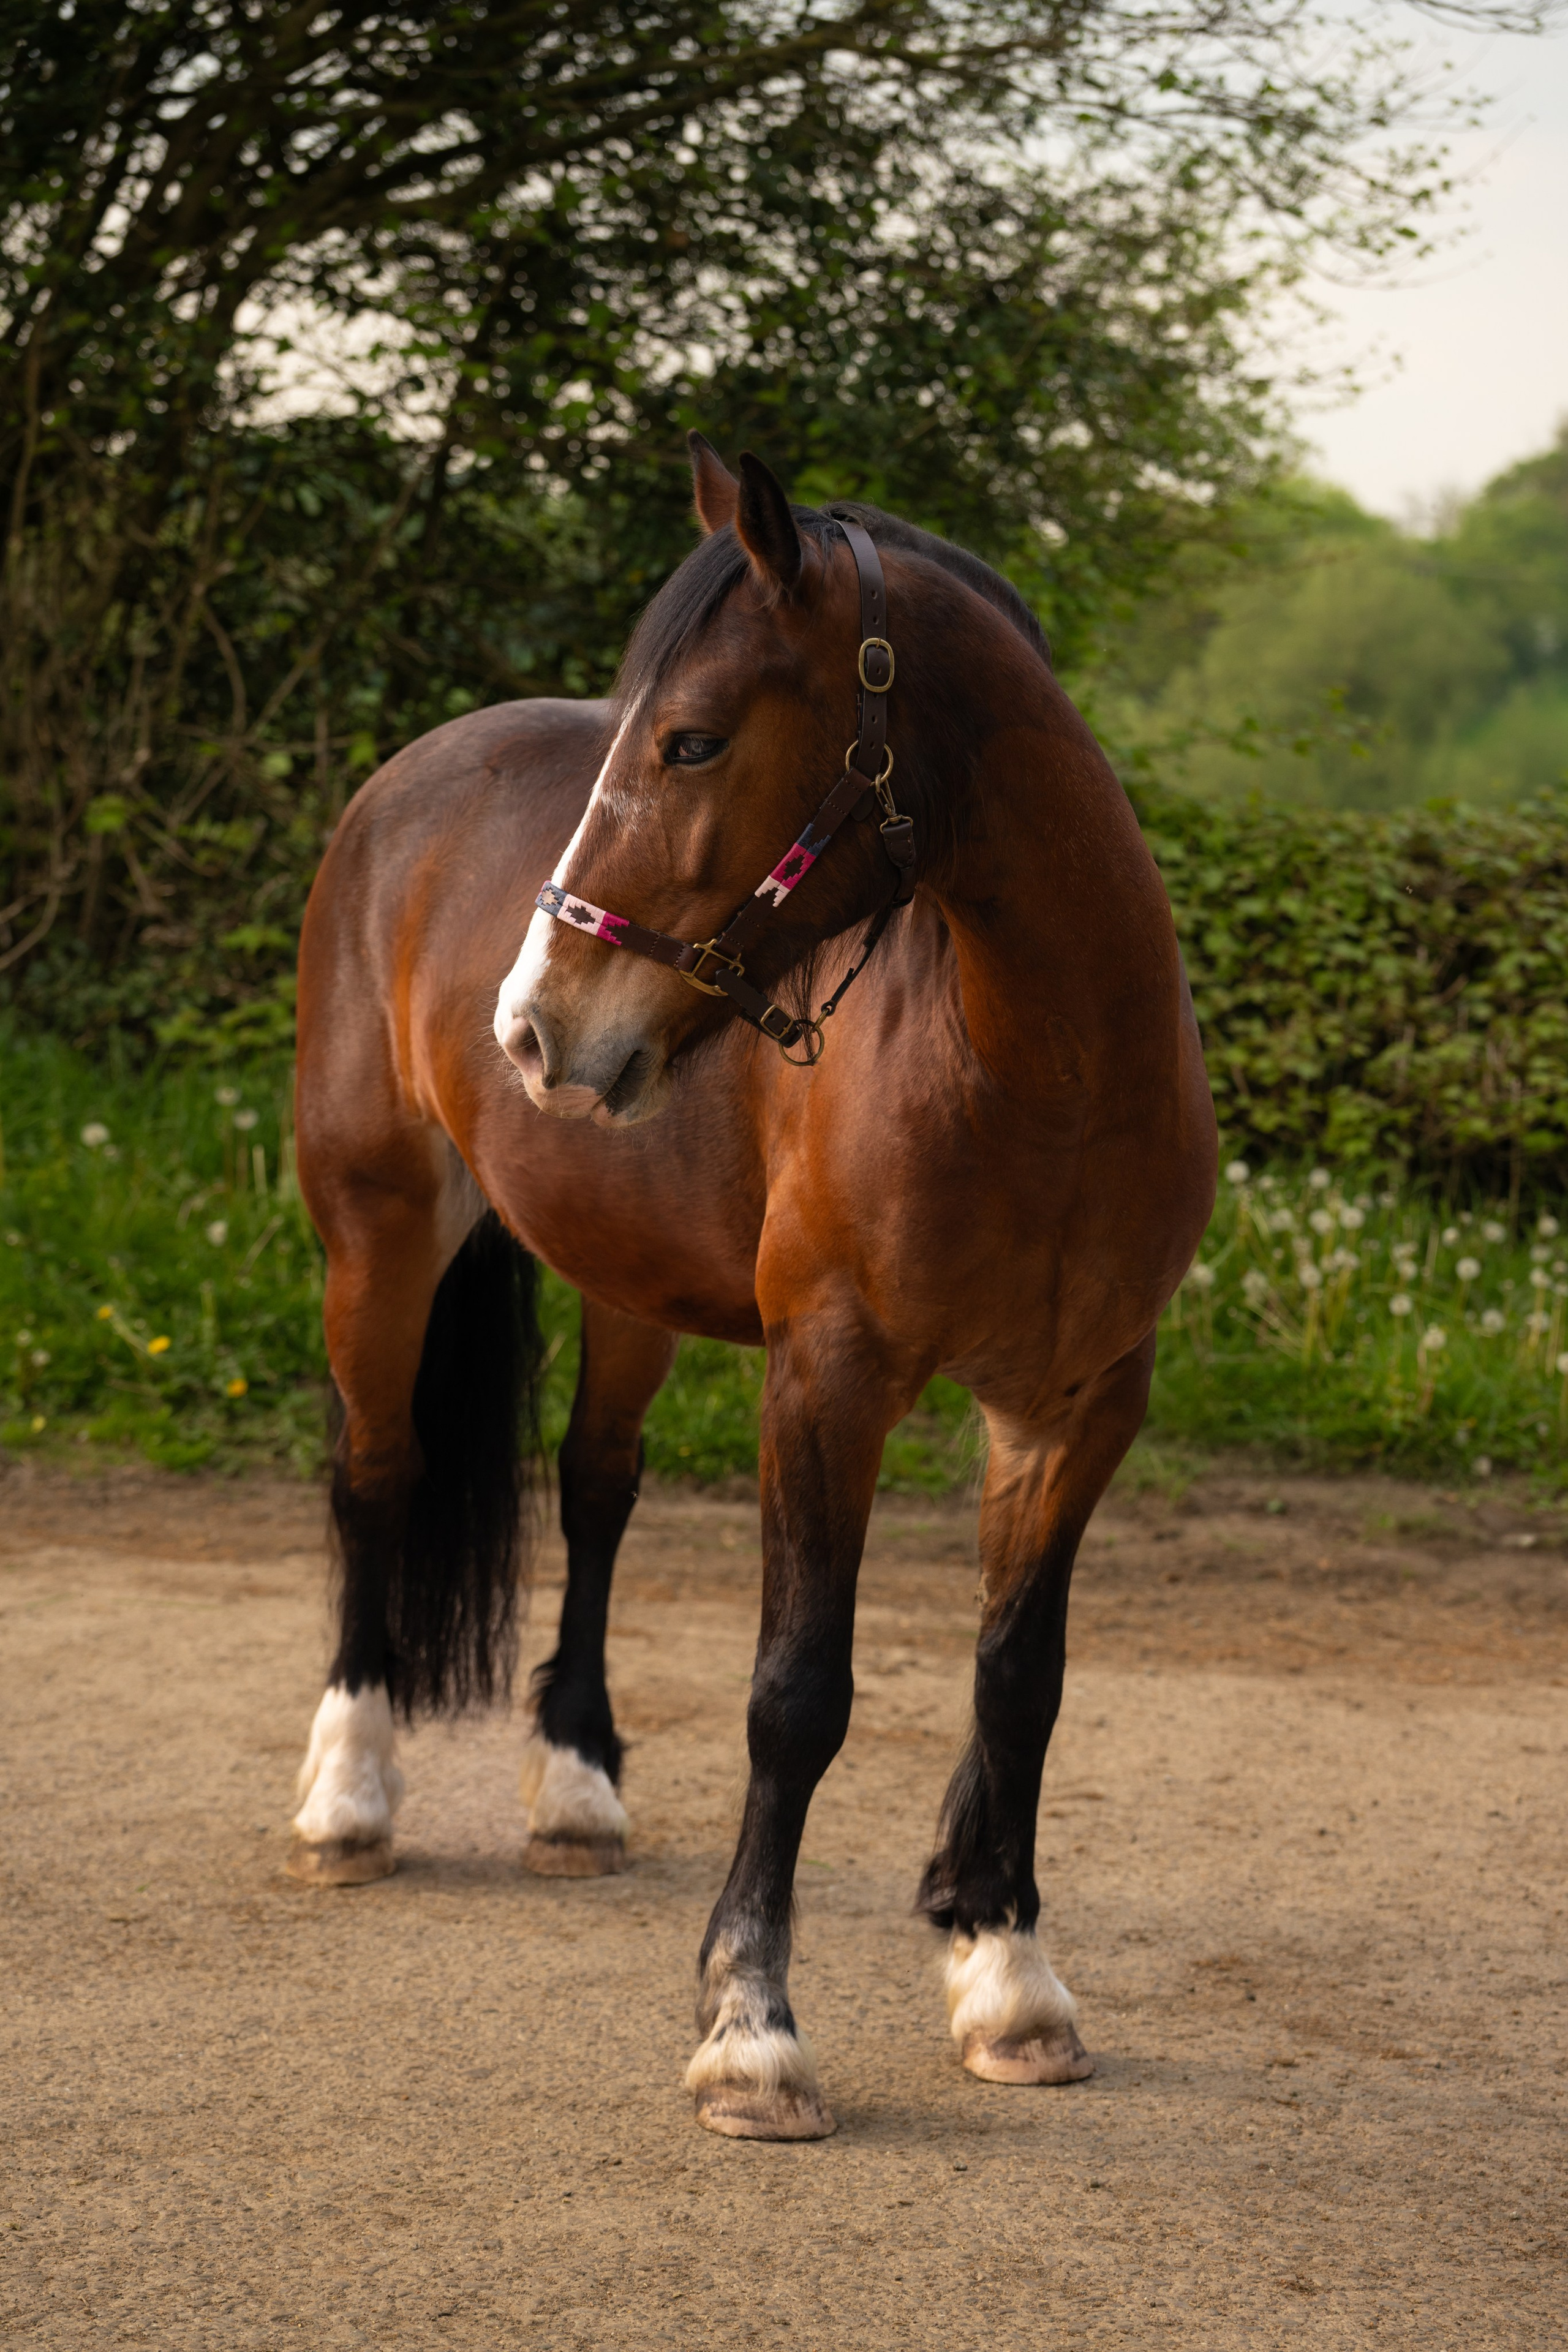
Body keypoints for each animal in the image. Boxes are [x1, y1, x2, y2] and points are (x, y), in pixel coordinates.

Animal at [287, 432, 1216, 2141]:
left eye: (694, 738)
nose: (531, 1024)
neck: (1031, 1064)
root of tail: (409, 778)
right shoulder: (828, 1376)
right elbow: (796, 1694)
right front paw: (750, 2029)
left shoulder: (1079, 1401)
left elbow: (1020, 1677)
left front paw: (1006, 1973)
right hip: (375, 1228)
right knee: (376, 1473)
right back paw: (348, 1792)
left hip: (625, 1275)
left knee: (594, 1486)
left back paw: (576, 1784)